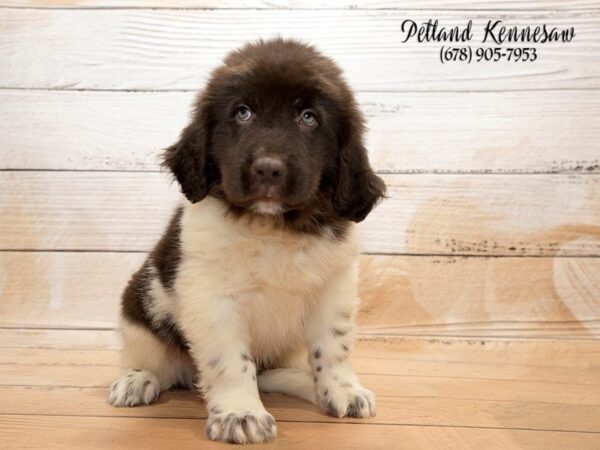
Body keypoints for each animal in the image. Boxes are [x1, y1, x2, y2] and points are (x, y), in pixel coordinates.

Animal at [107, 37, 384, 442]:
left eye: (309, 118)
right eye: (242, 113)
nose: (268, 169)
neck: (273, 227)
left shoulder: (335, 287)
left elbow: (334, 346)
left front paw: (342, 391)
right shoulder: (211, 296)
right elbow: (230, 360)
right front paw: (240, 413)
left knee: (273, 372)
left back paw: (305, 383)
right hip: (139, 312)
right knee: (150, 361)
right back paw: (136, 380)